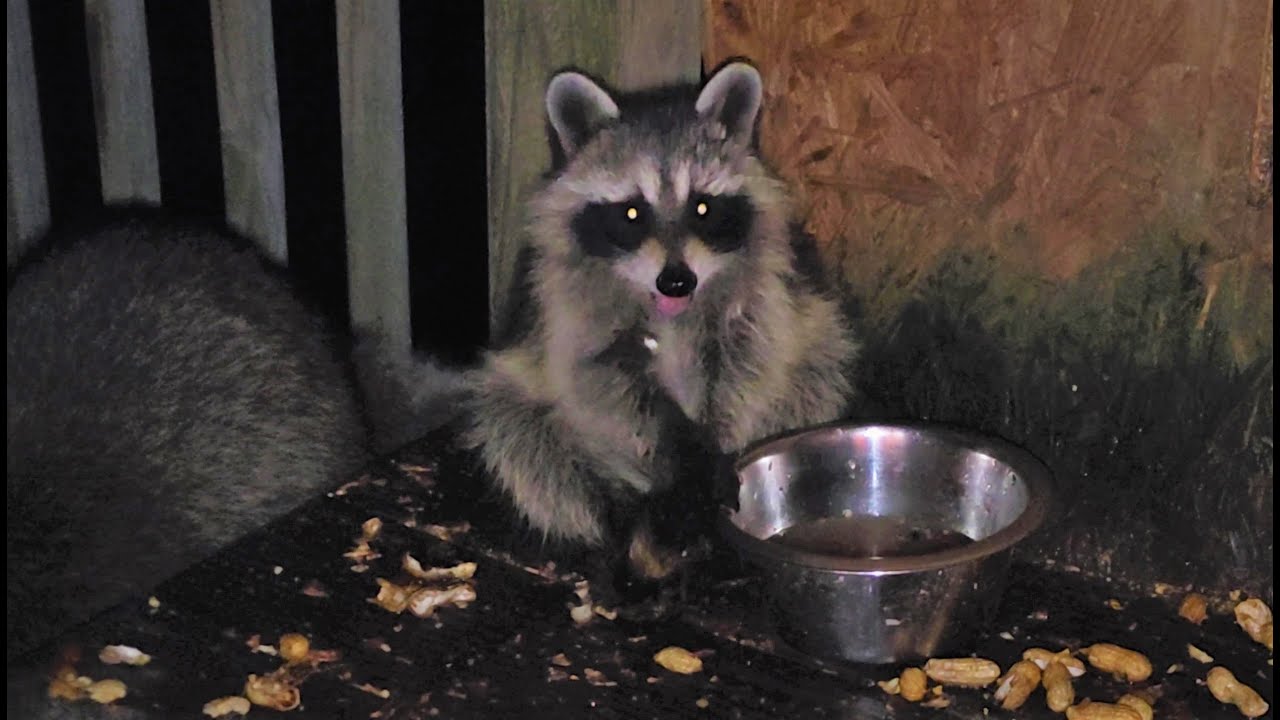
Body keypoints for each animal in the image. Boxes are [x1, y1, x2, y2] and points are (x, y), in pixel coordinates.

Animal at [463, 62, 859, 572]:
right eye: (632, 212)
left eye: (703, 207)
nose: (676, 281)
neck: (671, 312)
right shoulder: (570, 311)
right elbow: (605, 386)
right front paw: (682, 454)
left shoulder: (762, 298)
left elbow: (746, 368)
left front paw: (717, 443)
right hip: (519, 401)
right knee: (527, 442)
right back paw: (616, 511)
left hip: (818, 347)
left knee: (815, 375)